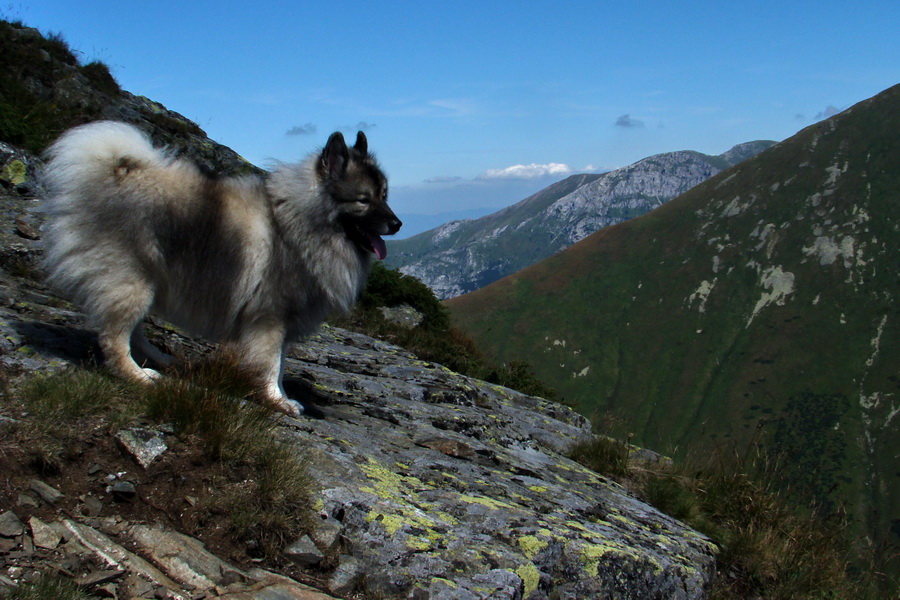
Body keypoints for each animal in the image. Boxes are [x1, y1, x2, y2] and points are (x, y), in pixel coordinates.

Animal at [42, 119, 400, 414]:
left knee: (134, 330)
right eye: (364, 200)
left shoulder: (279, 323)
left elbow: (280, 364)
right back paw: (139, 376)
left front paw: (282, 397)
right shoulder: (269, 319)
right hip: (133, 282)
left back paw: (160, 358)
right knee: (114, 338)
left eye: (385, 194)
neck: (301, 223)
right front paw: (277, 401)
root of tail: (115, 171)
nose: (397, 224)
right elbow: (271, 365)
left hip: (145, 284)